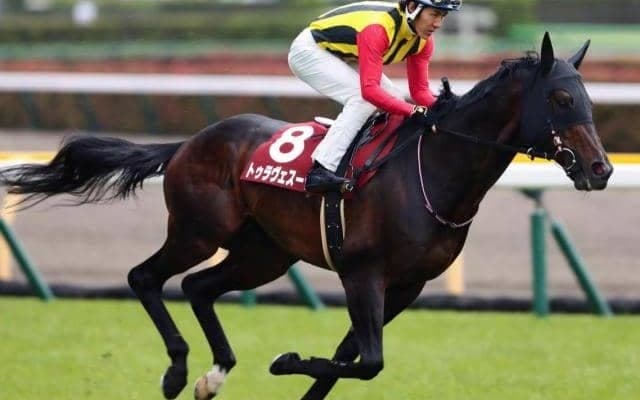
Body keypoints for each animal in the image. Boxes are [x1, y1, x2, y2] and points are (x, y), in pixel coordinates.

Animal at [0, 33, 612, 400]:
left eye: (589, 100)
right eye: (560, 99)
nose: (601, 169)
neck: (434, 171)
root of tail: (188, 143)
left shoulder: (407, 285)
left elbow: (351, 357)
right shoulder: (362, 272)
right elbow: (368, 361)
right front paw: (283, 360)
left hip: (263, 253)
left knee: (198, 287)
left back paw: (213, 373)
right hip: (199, 231)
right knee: (145, 276)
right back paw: (176, 370)